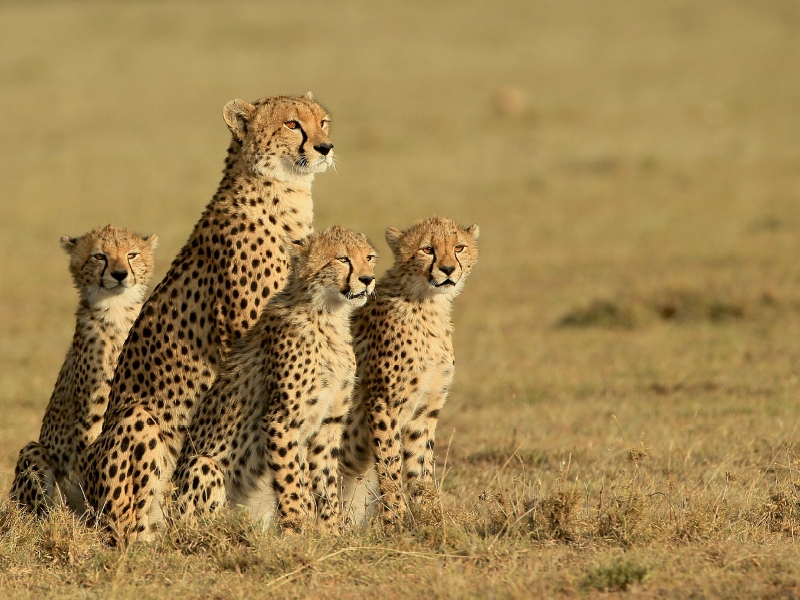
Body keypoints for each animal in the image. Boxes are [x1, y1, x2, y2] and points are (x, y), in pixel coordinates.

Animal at [10, 225, 158, 516]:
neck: (117, 311)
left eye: (132, 254)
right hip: (36, 454)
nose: (120, 274)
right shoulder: (94, 410)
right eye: (99, 256)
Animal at [79, 94, 334, 544]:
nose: (325, 148)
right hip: (139, 422)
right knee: (129, 525)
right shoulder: (247, 333)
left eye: (323, 122)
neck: (282, 192)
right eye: (291, 124)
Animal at [173, 227, 378, 532]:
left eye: (370, 257)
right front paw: (298, 528)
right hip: (203, 466)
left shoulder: (328, 423)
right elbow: (291, 481)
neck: (328, 316)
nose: (368, 279)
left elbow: (325, 482)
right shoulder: (281, 421)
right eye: (342, 259)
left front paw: (329, 530)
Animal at [336, 217, 476, 524]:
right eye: (427, 249)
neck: (428, 304)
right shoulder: (382, 404)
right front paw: (396, 519)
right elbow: (390, 465)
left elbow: (420, 467)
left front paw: (430, 517)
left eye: (459, 247)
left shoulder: (424, 412)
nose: (448, 269)